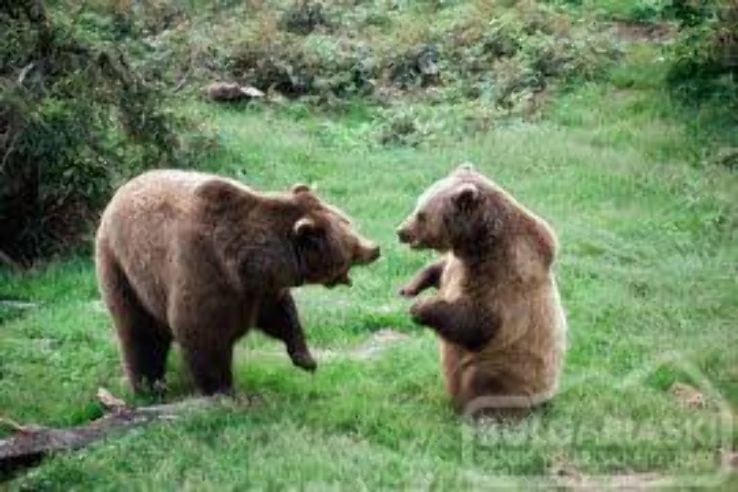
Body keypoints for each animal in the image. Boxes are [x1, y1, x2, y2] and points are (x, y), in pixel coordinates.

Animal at [95, 169, 380, 395]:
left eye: (348, 221)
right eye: (350, 238)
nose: (375, 248)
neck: (243, 267)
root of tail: (118, 192)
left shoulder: (259, 292)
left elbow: (283, 316)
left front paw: (306, 359)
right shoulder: (202, 271)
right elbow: (201, 333)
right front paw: (222, 389)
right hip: (122, 267)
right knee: (139, 331)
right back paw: (148, 385)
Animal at [396, 163, 566, 416]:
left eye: (421, 214)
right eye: (417, 205)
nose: (401, 231)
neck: (476, 245)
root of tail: (545, 400)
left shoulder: (505, 273)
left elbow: (479, 319)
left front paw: (421, 307)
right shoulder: (460, 264)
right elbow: (441, 270)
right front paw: (410, 287)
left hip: (510, 368)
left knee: (482, 378)